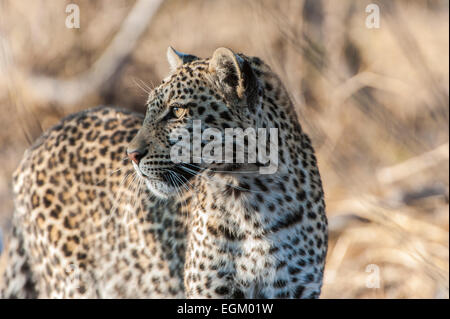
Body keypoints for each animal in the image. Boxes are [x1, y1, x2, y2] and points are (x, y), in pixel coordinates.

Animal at [1, 47, 328, 300]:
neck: (252, 198)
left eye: (177, 111)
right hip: (71, 280)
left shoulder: (295, 289)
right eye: (150, 109)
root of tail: (38, 142)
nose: (132, 155)